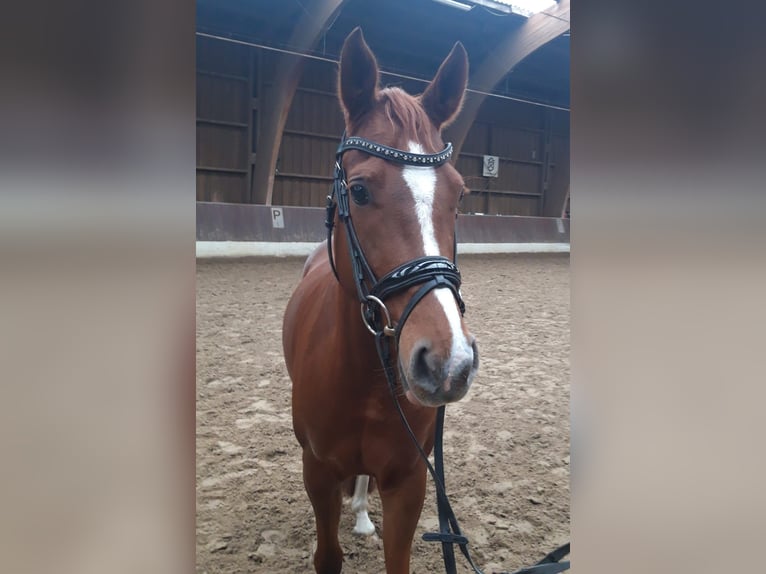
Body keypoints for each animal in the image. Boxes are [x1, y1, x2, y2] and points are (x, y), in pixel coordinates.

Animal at [282, 28, 480, 574]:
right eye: (360, 190)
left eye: (459, 194)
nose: (447, 363)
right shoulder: (317, 472)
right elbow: (327, 555)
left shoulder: (409, 480)